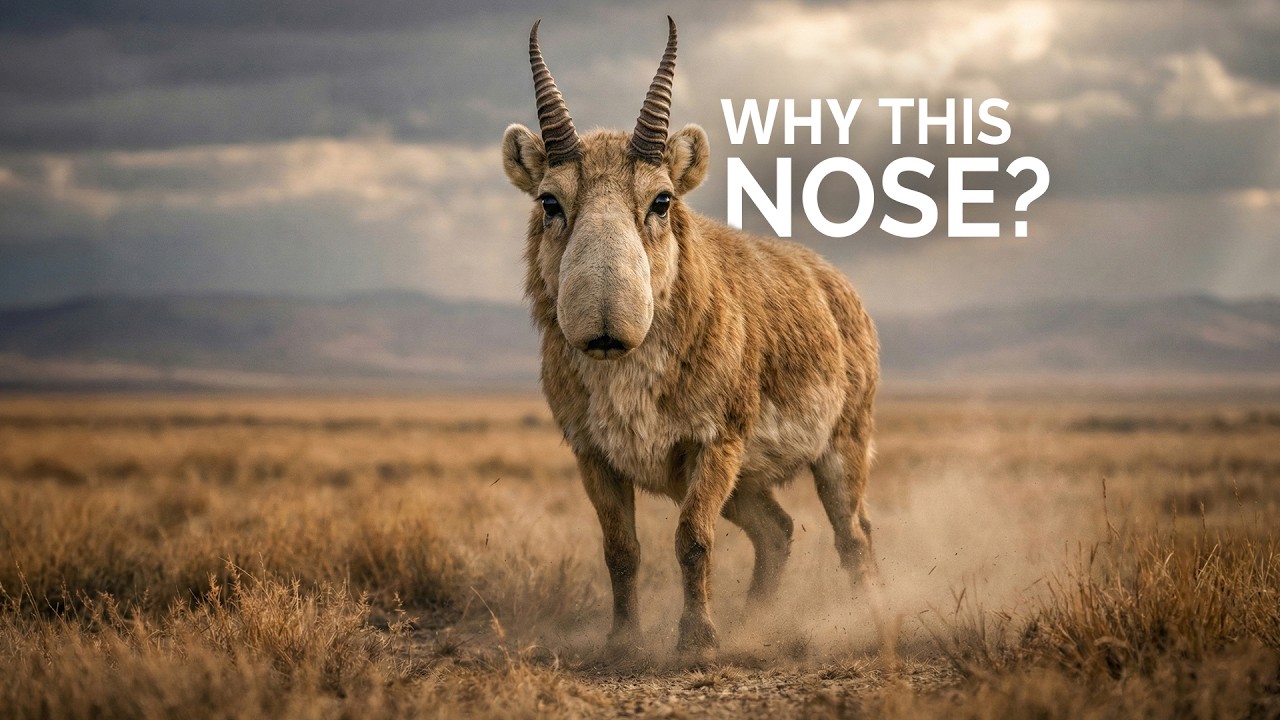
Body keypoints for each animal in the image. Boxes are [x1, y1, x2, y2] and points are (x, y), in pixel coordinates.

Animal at [502, 17, 879, 656]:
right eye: (550, 200)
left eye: (662, 200)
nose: (605, 321)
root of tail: (839, 287)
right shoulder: (593, 457)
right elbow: (620, 550)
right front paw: (622, 642)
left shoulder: (715, 445)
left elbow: (692, 540)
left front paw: (698, 640)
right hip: (746, 484)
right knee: (776, 530)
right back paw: (755, 623)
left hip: (841, 449)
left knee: (854, 533)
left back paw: (861, 619)